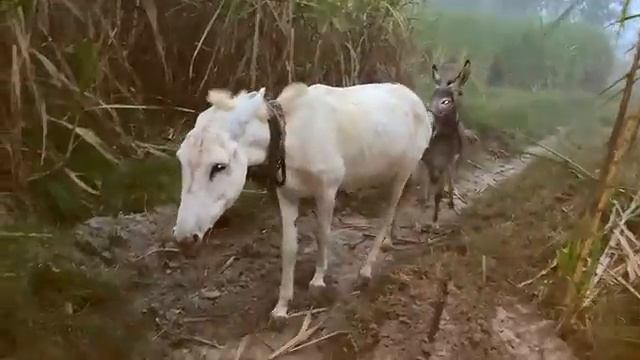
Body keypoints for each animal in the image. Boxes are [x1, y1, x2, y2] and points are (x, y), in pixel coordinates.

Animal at [172, 83, 432, 322]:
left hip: (405, 169)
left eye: (219, 166)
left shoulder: (327, 190)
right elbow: (289, 248)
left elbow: (322, 235)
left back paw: (366, 270)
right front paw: (281, 308)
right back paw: (390, 240)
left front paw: (317, 283)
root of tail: (415, 97)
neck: (291, 138)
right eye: (180, 160)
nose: (184, 240)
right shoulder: (287, 194)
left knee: (388, 212)